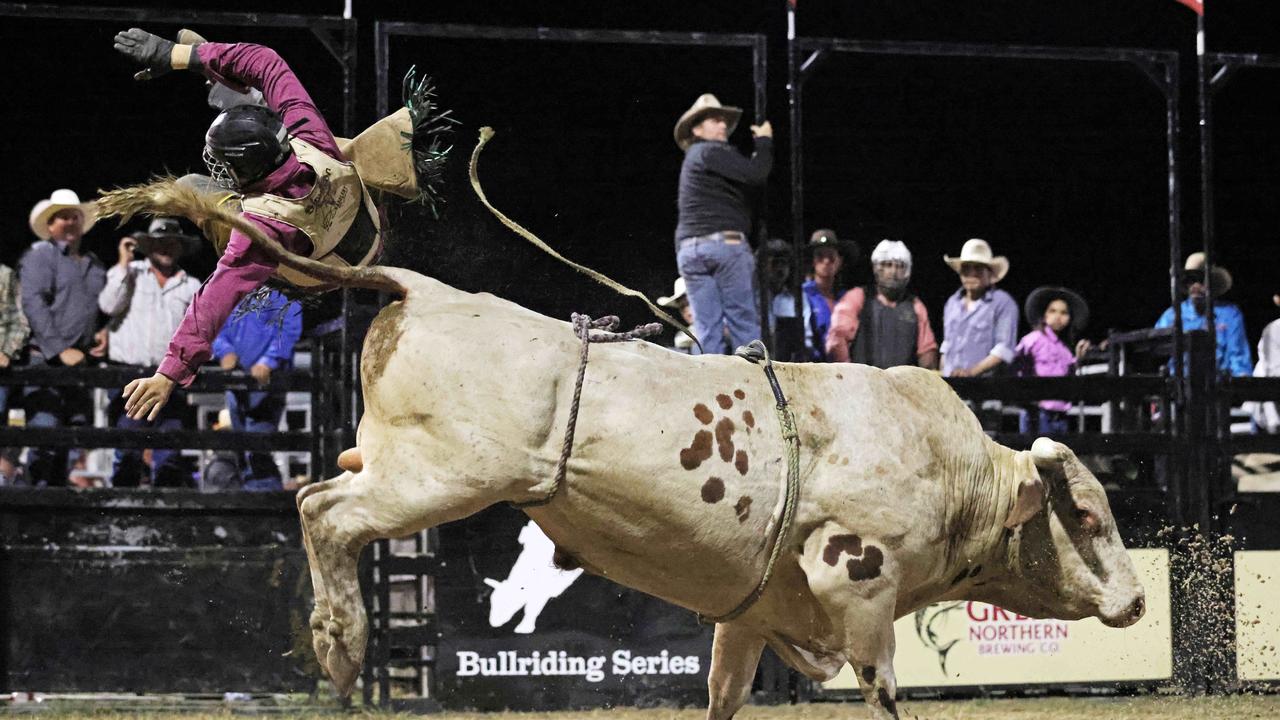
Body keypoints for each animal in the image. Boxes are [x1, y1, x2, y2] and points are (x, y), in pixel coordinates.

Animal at [294, 263, 1146, 717]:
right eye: (1084, 515)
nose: (1138, 602)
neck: (950, 469)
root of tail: (425, 289)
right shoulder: (859, 581)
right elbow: (880, 686)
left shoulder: (750, 616)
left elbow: (724, 693)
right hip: (438, 476)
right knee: (323, 512)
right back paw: (342, 647)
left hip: (401, 468)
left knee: (317, 499)